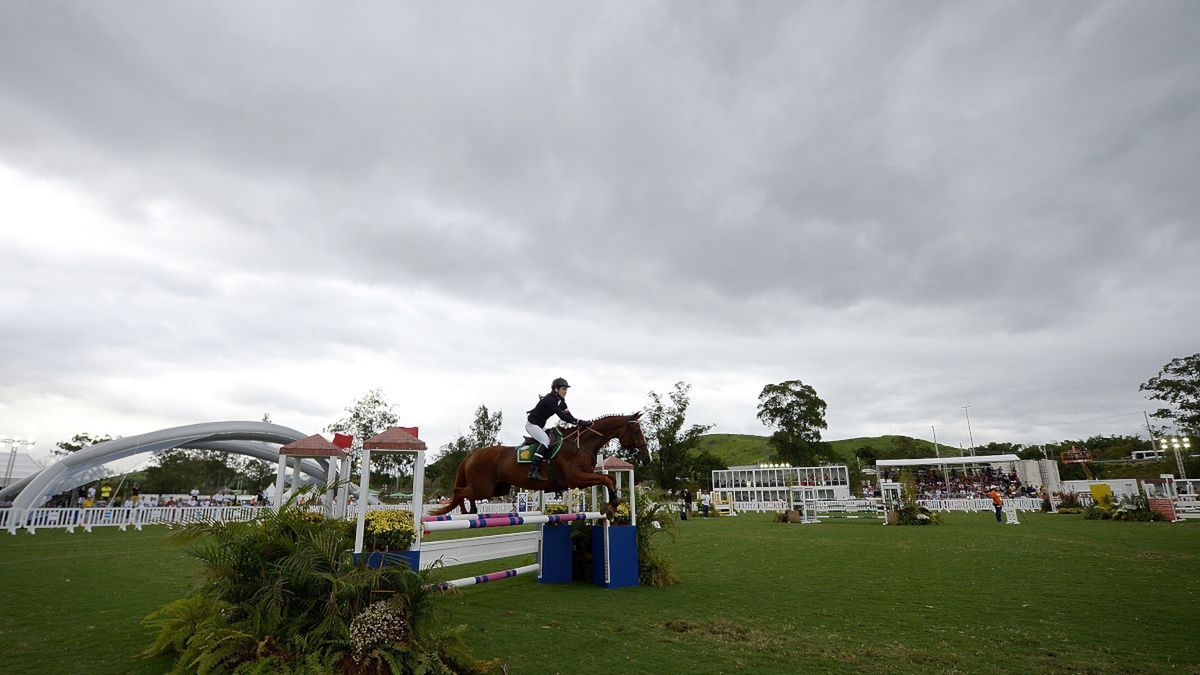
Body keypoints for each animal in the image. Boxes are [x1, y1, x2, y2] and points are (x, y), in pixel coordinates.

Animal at [429, 410, 652, 514]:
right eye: (636, 430)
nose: (647, 458)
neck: (581, 444)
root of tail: (473, 453)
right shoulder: (577, 478)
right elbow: (606, 480)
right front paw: (612, 505)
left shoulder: (585, 476)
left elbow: (610, 480)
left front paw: (613, 503)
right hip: (484, 488)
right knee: (460, 492)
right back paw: (465, 511)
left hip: (498, 488)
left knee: (467, 493)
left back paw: (473, 511)